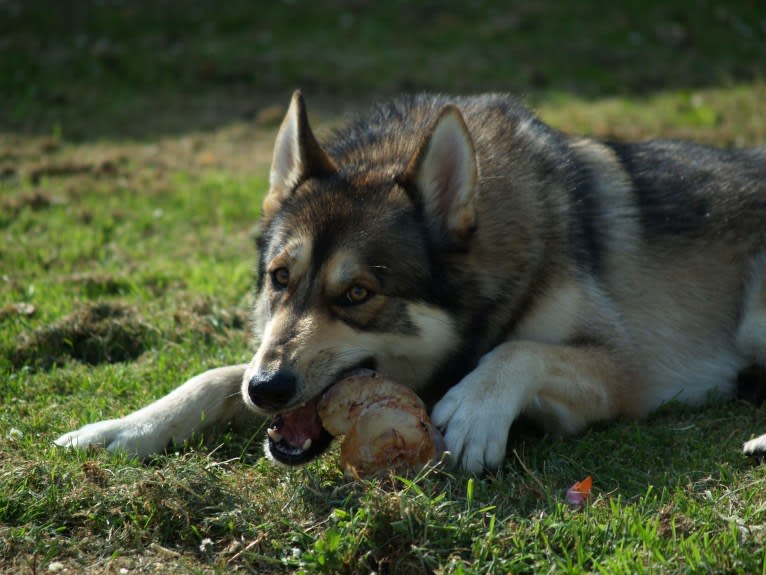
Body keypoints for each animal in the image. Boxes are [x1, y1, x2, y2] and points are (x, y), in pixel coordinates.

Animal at [57, 91, 766, 472]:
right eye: (280, 279)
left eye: (358, 295)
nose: (268, 389)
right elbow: (211, 376)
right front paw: (125, 428)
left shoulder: (626, 370)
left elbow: (520, 350)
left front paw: (476, 409)